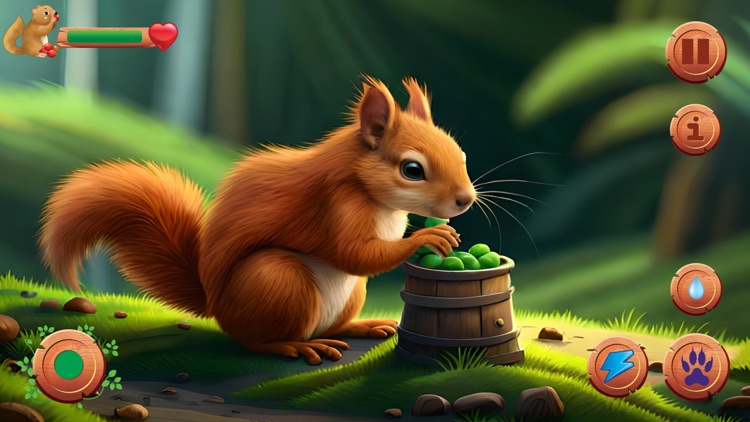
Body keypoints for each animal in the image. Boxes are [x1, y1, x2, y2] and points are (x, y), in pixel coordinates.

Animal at [39, 76, 476, 365]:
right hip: (277, 280)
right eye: (412, 170)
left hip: (350, 293)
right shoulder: (337, 207)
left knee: (330, 326)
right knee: (255, 341)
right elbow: (354, 254)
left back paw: (360, 327)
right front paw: (429, 238)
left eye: (461, 153)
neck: (373, 193)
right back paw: (294, 346)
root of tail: (218, 307)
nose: (466, 200)